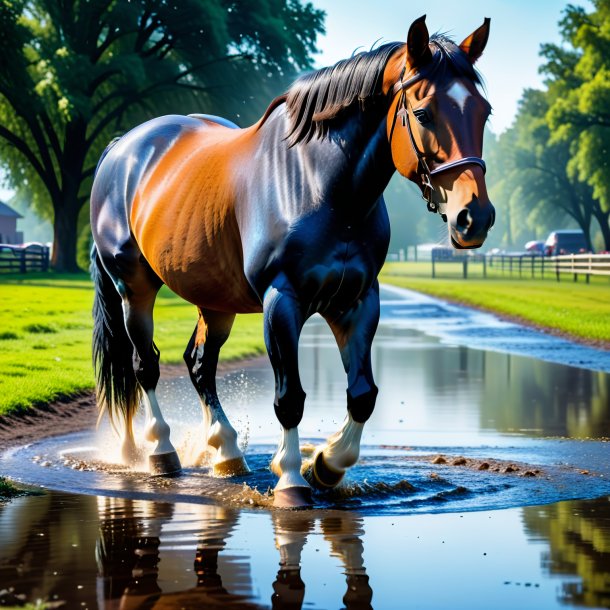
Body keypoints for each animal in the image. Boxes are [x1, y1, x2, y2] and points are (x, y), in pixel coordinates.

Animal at [90, 14, 494, 506]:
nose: (474, 217)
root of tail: (122, 149)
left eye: (484, 111)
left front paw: (326, 465)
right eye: (423, 113)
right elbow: (290, 398)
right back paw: (161, 452)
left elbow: (363, 394)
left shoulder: (358, 301)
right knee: (145, 365)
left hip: (215, 302)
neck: (320, 186)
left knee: (200, 364)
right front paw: (291, 480)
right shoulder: (281, 301)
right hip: (134, 286)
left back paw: (227, 453)